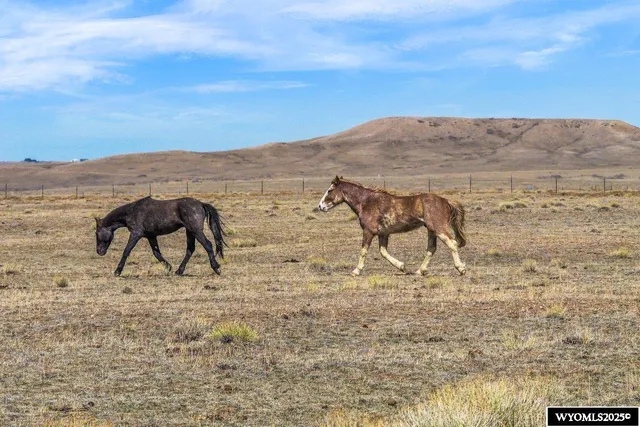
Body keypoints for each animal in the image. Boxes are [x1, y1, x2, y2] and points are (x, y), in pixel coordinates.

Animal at [95, 196, 226, 276]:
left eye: (96, 233)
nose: (99, 252)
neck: (131, 211)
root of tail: (200, 204)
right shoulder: (151, 236)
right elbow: (156, 253)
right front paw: (168, 267)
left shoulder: (136, 234)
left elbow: (126, 251)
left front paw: (117, 271)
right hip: (190, 231)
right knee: (190, 249)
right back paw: (179, 271)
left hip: (196, 231)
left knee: (207, 245)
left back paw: (216, 268)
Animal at [317, 176, 467, 277]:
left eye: (330, 190)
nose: (320, 206)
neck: (366, 202)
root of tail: (446, 201)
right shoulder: (383, 233)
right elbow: (383, 252)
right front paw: (402, 267)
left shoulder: (368, 231)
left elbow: (364, 251)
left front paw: (356, 271)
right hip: (431, 230)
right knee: (431, 248)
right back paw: (420, 271)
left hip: (438, 228)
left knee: (452, 243)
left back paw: (461, 268)